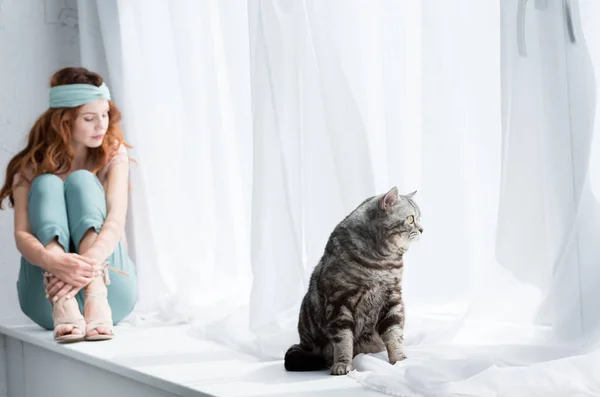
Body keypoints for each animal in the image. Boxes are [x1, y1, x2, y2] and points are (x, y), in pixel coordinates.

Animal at [284, 187, 422, 372]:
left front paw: (400, 360)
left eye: (419, 218)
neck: (381, 263)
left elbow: (395, 334)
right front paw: (342, 364)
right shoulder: (339, 302)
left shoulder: (392, 299)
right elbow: (343, 340)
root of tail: (303, 343)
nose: (422, 229)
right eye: (410, 219)